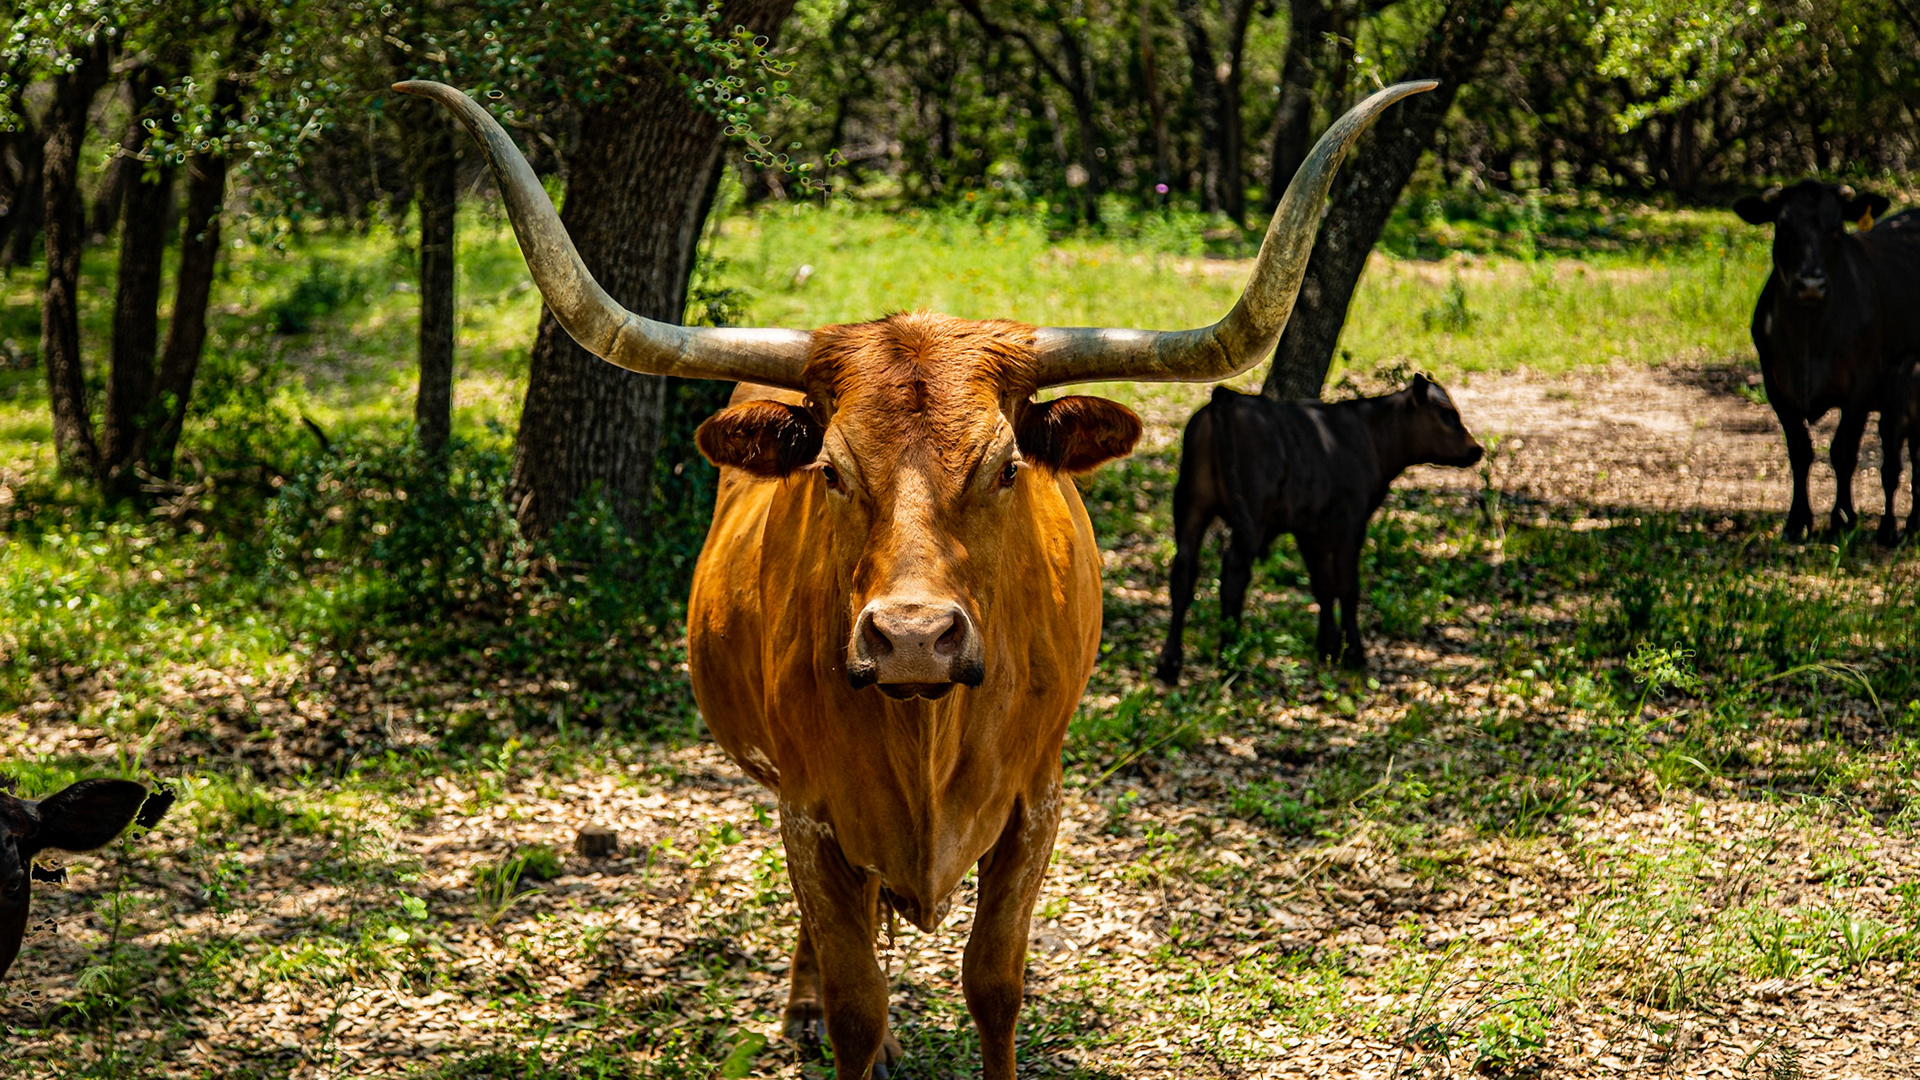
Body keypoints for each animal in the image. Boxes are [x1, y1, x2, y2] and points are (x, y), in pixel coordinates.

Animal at [398, 77, 1433, 1079]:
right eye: (830, 471)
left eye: (1007, 467)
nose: (911, 639)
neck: (926, 730)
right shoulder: (810, 817)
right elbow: (858, 1000)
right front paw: (841, 1022)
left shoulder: (1035, 807)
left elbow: (995, 985)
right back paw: (804, 1008)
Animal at [1154, 378, 1483, 684]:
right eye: (1447, 413)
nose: (1476, 449)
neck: (1369, 436)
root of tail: (1228, 397)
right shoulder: (1351, 522)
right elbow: (1347, 587)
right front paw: (1353, 653)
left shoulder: (1310, 529)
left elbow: (1323, 585)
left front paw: (1327, 648)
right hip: (1250, 515)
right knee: (1234, 574)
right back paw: (1229, 659)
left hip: (1190, 504)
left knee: (1183, 572)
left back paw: (1170, 663)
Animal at [1734, 181, 1920, 545]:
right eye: (1784, 227)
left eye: (1836, 229)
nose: (1810, 283)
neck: (1809, 337)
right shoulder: (1776, 386)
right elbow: (1800, 450)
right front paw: (1798, 521)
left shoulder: (1861, 387)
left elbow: (1843, 451)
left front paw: (1842, 519)